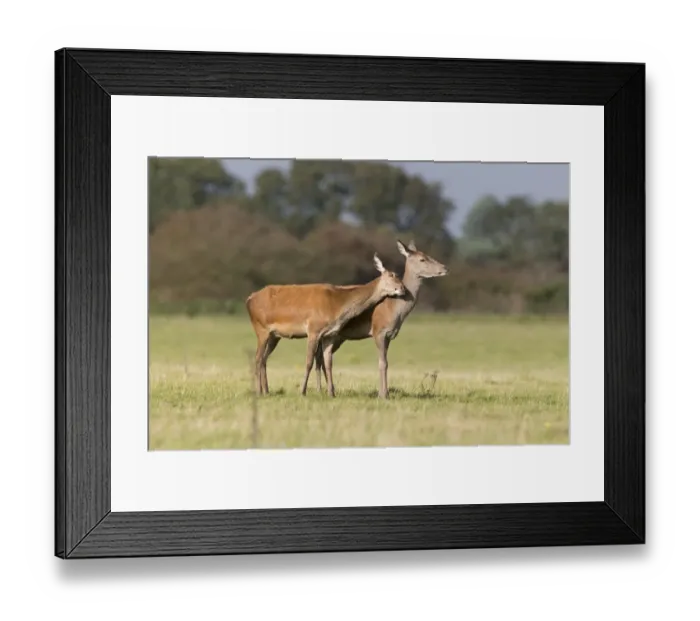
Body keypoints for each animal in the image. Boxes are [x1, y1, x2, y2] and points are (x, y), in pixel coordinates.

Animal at [245, 253, 407, 398]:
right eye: (392, 275)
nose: (403, 289)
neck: (336, 305)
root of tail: (249, 299)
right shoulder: (313, 330)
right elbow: (309, 361)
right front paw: (302, 392)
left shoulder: (330, 334)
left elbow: (328, 363)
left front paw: (331, 393)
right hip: (261, 328)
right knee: (258, 358)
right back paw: (258, 392)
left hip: (274, 335)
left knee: (264, 359)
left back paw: (266, 391)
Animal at [312, 240, 448, 399]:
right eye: (422, 259)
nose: (444, 268)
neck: (394, 308)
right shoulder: (379, 331)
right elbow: (382, 363)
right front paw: (383, 395)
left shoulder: (389, 335)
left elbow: (386, 362)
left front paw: (384, 392)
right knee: (319, 357)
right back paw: (321, 390)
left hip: (338, 336)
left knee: (321, 357)